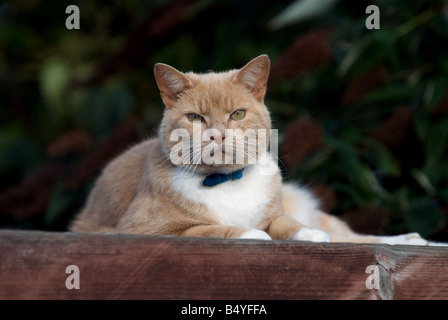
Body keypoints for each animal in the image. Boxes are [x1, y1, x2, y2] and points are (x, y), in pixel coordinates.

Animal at [70, 55, 428, 245]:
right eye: (195, 118)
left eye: (237, 114)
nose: (218, 134)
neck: (228, 180)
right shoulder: (145, 229)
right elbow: (209, 228)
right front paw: (251, 234)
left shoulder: (277, 215)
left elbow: (289, 225)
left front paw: (308, 234)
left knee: (351, 236)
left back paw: (413, 239)